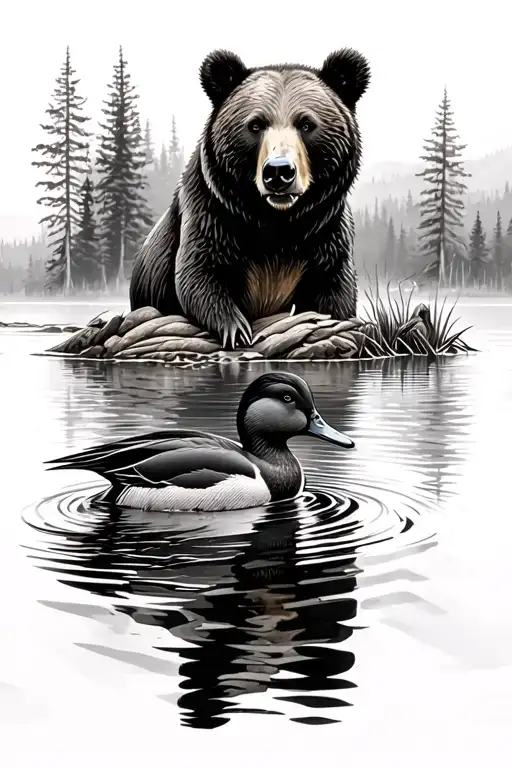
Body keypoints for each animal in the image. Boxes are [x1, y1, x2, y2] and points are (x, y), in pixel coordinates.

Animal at [129, 47, 371, 349]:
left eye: (306, 123)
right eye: (255, 125)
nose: (279, 171)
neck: (276, 221)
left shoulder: (326, 233)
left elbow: (335, 290)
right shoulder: (210, 214)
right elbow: (198, 275)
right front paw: (237, 330)